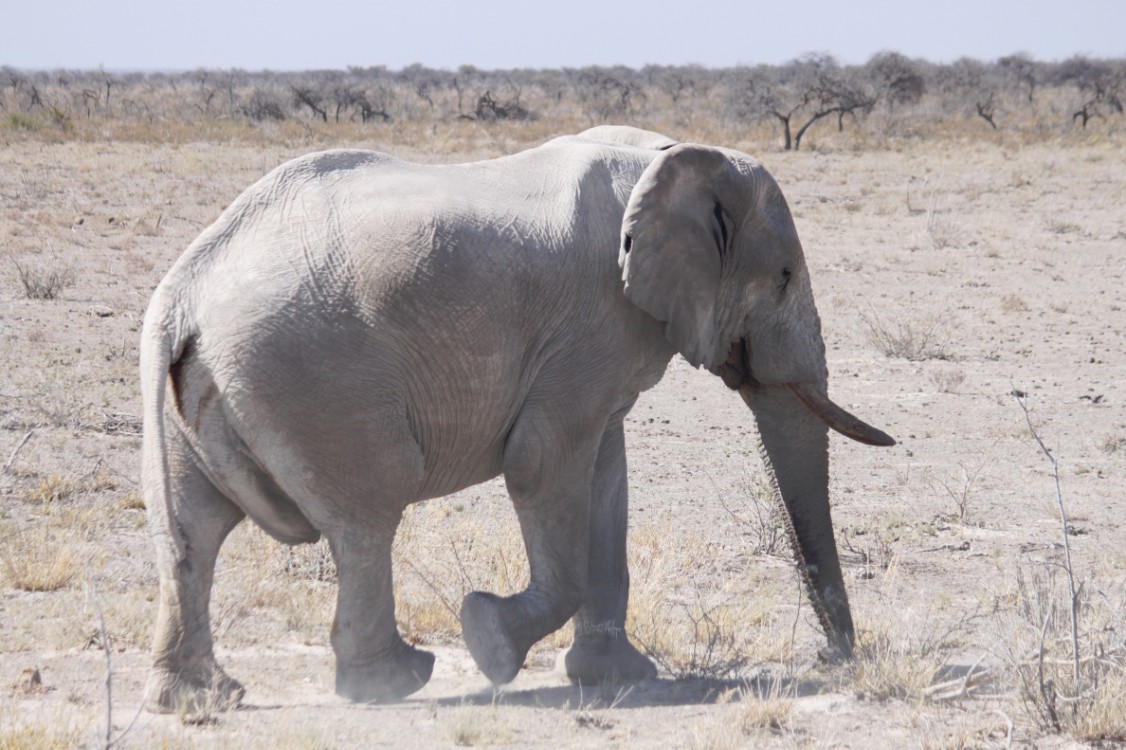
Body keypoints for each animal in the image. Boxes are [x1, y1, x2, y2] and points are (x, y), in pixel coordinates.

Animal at [140, 122, 891, 707]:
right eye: (786, 278)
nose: (832, 659)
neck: (670, 155)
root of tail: (185, 291)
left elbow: (606, 480)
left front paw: (616, 677)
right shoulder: (591, 324)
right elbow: (541, 465)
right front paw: (490, 641)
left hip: (199, 397)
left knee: (190, 533)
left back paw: (203, 699)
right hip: (313, 378)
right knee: (365, 518)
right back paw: (395, 681)